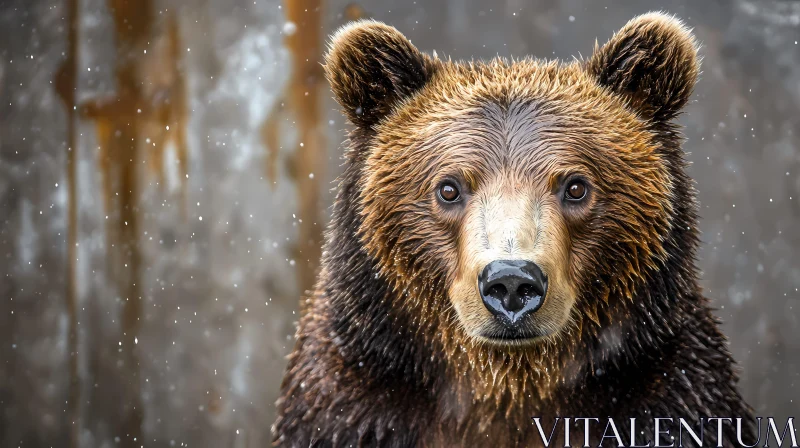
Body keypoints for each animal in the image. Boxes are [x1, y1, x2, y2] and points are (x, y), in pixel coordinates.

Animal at [270, 12, 756, 446]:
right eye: (449, 188)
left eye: (576, 186)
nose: (511, 282)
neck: (507, 389)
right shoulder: (352, 400)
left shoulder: (668, 393)